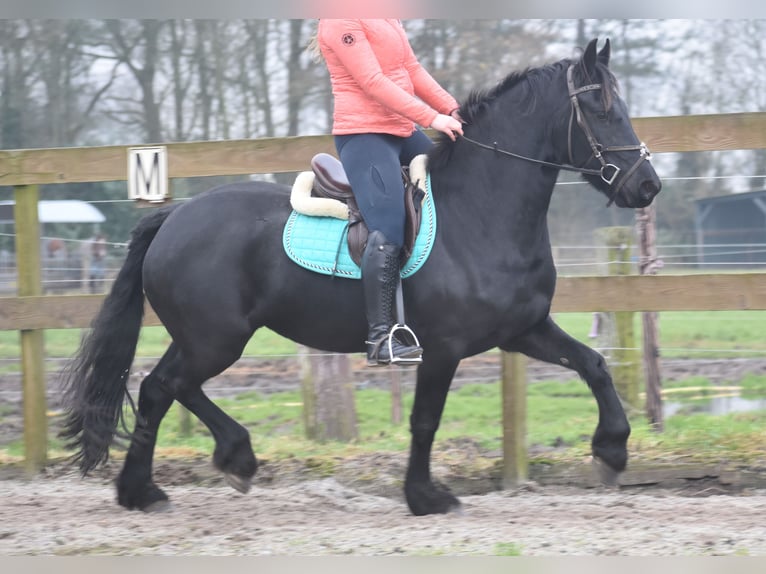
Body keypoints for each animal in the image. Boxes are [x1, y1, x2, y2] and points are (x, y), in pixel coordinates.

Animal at [61, 40, 660, 516]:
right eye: (602, 110)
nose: (647, 185)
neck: (481, 211)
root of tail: (175, 216)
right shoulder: (444, 348)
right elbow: (425, 420)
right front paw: (426, 496)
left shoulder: (523, 330)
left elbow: (594, 364)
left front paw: (613, 450)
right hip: (216, 339)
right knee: (169, 386)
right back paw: (223, 461)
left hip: (200, 338)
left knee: (160, 389)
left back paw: (148, 489)